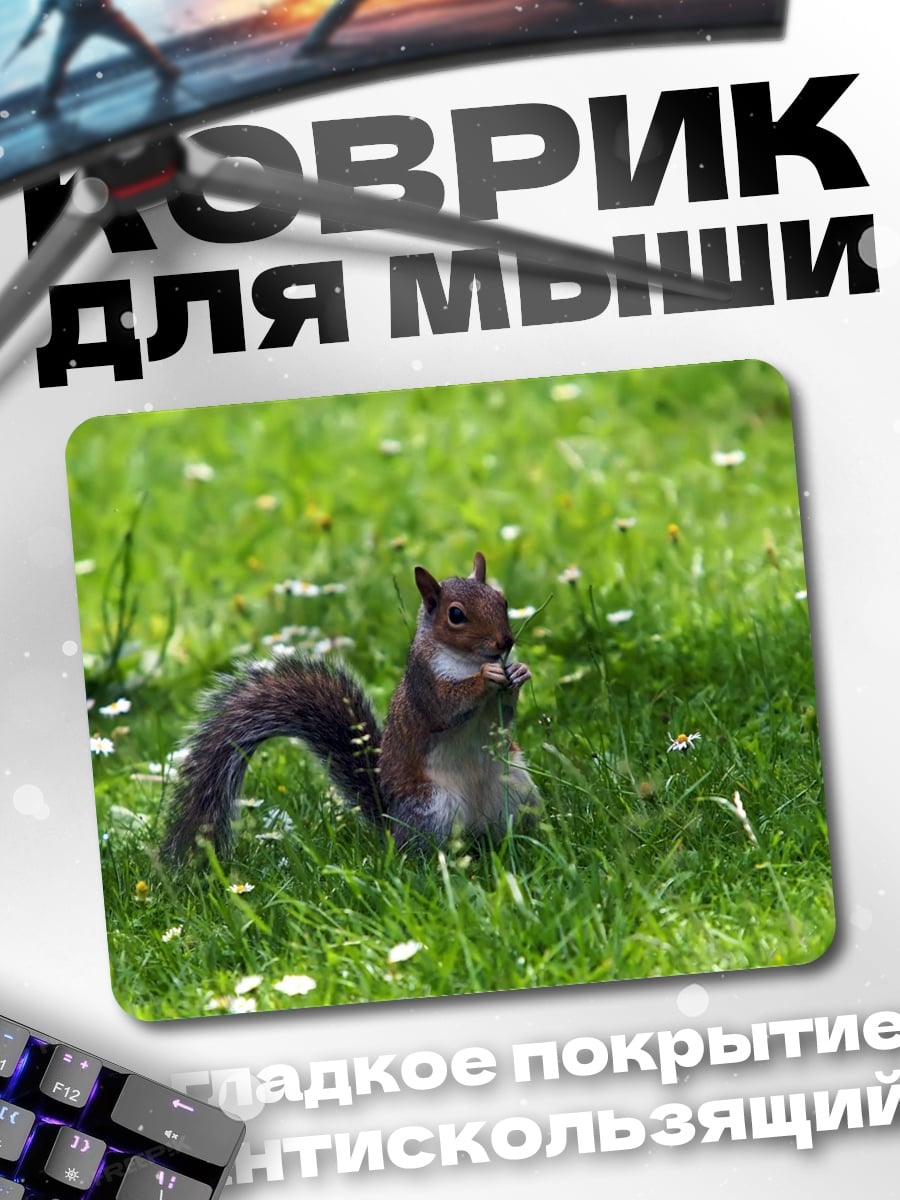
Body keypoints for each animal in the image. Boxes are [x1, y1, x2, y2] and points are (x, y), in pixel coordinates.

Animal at [160, 551, 540, 861]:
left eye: (502, 600)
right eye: (456, 615)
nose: (506, 642)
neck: (468, 660)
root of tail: (390, 822)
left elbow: (504, 716)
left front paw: (519, 671)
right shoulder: (425, 686)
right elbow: (447, 706)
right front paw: (487, 677)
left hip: (518, 789)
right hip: (432, 809)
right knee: (420, 854)